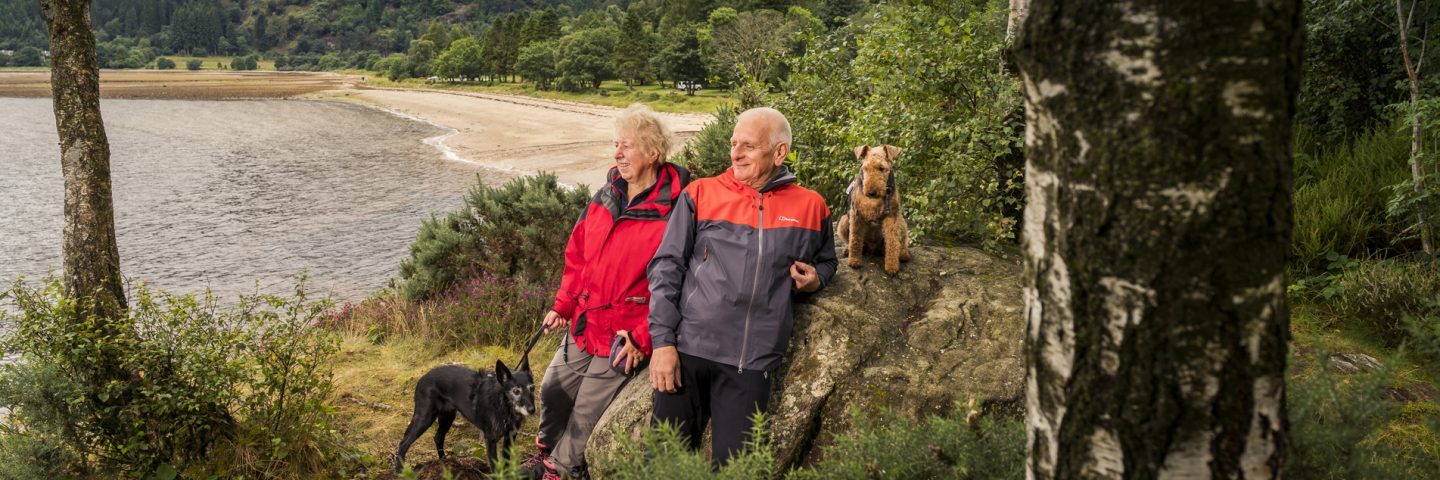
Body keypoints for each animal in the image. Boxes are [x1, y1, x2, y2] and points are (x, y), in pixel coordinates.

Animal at [394, 358, 535, 467]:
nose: (532, 410)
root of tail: (423, 378)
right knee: (403, 443)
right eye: (516, 391)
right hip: (425, 417)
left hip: (447, 416)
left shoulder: (510, 437)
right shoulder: (490, 439)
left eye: (532, 388)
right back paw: (401, 471)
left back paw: (444, 462)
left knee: (438, 437)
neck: (503, 405)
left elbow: (506, 463)